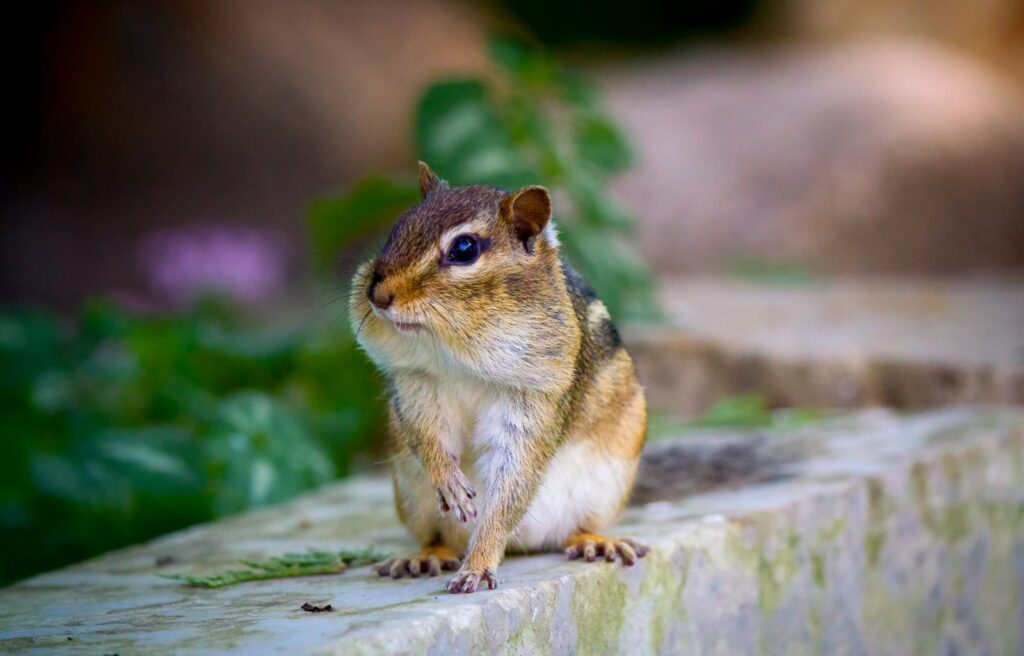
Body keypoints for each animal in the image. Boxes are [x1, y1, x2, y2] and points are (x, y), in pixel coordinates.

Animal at [349, 162, 649, 594]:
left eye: (464, 249)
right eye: (398, 227)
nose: (377, 295)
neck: (459, 354)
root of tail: (527, 545)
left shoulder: (534, 397)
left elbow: (511, 486)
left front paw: (478, 565)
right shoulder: (416, 383)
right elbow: (426, 436)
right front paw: (448, 480)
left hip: (608, 483)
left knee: (576, 528)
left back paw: (596, 541)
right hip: (410, 492)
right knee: (437, 536)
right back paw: (424, 556)